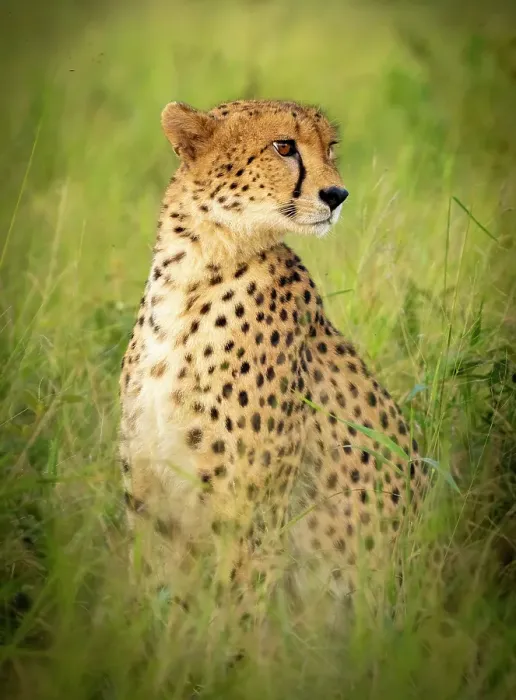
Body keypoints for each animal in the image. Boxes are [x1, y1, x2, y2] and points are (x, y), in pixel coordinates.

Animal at [118, 98, 429, 627]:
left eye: (330, 147)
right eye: (283, 147)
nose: (337, 194)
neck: (192, 275)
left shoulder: (250, 513)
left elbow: (237, 615)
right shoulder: (151, 500)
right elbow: (152, 603)